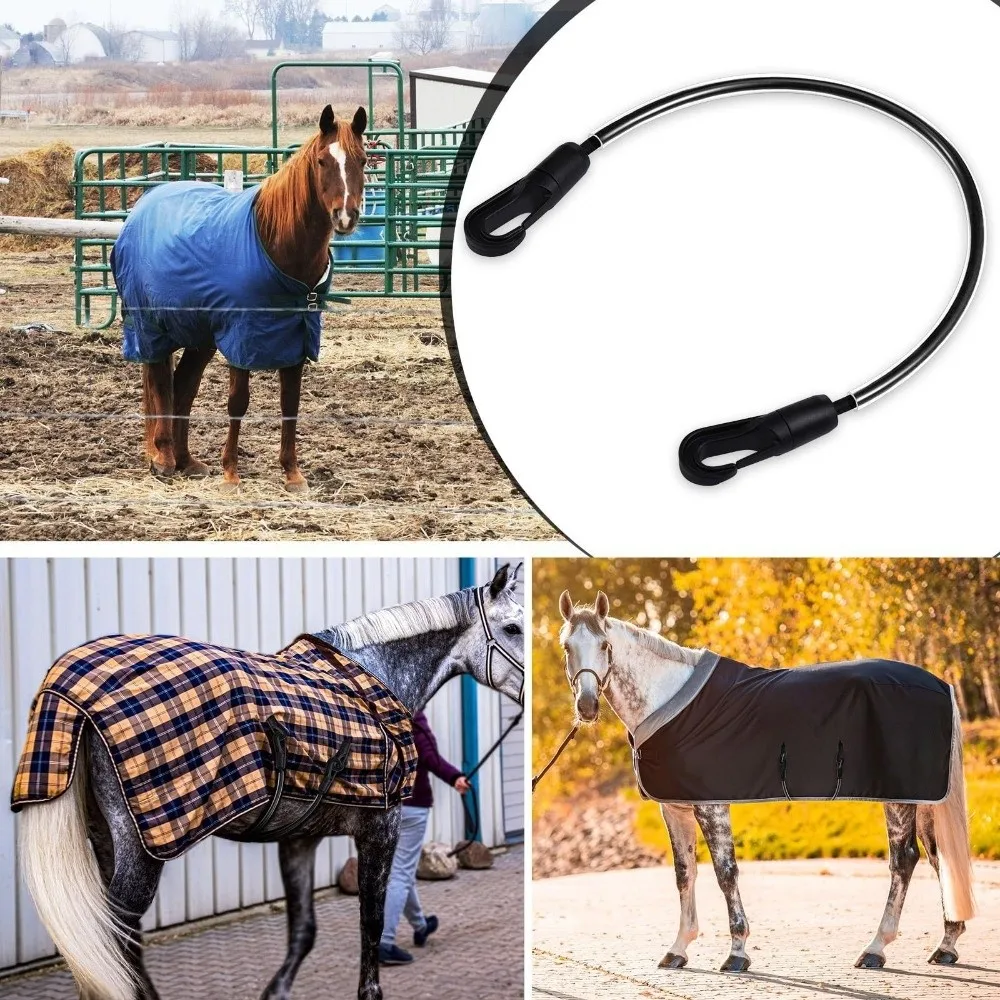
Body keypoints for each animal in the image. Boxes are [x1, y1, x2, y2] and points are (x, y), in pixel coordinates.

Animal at [13, 564, 523, 1000]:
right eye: (512, 629)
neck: (373, 679)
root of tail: (70, 687)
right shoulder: (381, 831)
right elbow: (372, 926)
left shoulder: (299, 839)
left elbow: (304, 930)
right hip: (142, 847)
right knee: (114, 937)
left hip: (104, 837)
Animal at [110, 104, 368, 494]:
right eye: (323, 160)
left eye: (364, 160)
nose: (346, 216)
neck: (276, 246)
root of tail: (141, 208)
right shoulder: (241, 336)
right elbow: (238, 402)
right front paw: (231, 474)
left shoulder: (297, 336)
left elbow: (290, 402)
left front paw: (292, 474)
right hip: (150, 326)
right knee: (158, 382)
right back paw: (163, 459)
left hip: (199, 335)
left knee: (183, 386)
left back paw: (186, 461)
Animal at [551, 590, 974, 973]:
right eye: (567, 647)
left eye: (605, 645)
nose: (586, 706)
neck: (667, 696)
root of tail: (942, 685)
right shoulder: (674, 807)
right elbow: (684, 873)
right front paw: (678, 949)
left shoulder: (710, 805)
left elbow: (725, 873)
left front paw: (737, 952)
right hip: (923, 798)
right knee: (939, 857)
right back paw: (946, 944)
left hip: (899, 797)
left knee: (904, 861)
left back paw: (876, 948)